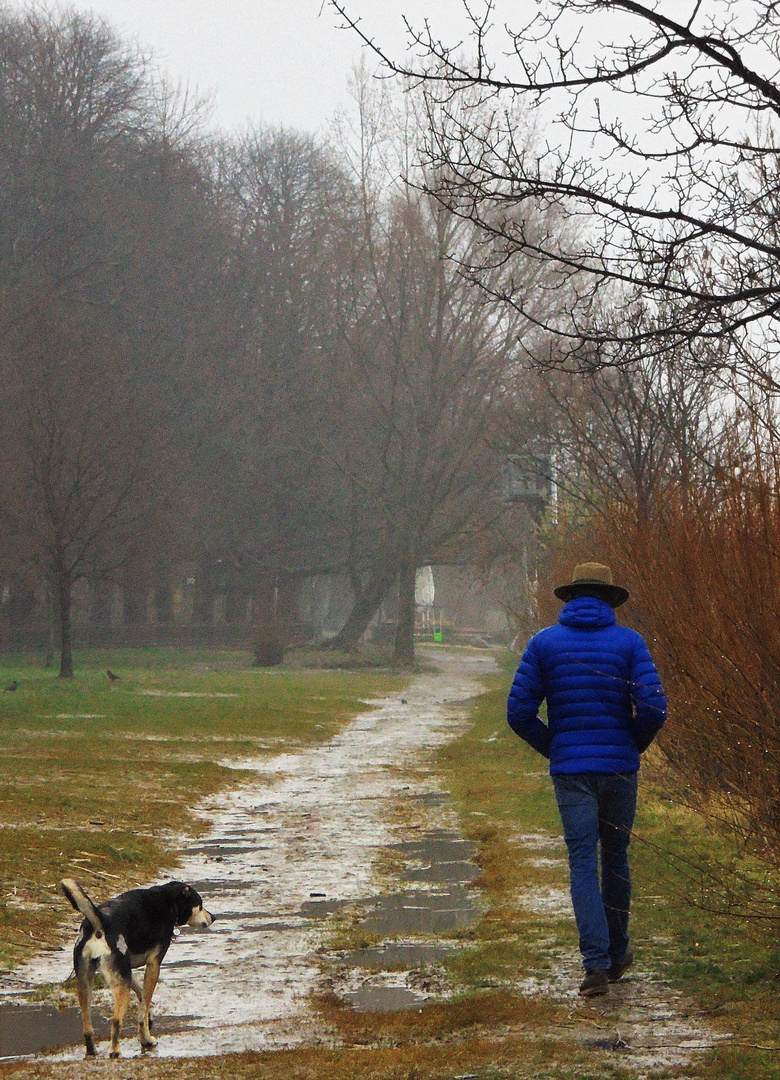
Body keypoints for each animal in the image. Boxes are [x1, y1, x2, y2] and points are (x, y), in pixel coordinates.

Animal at [61, 876, 212, 1054]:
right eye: (200, 904)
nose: (213, 917)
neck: (168, 901)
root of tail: (100, 922)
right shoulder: (153, 965)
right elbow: (143, 1007)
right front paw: (147, 1039)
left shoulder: (129, 973)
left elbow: (142, 997)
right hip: (122, 988)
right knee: (116, 1020)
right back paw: (115, 1051)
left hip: (86, 985)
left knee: (87, 1026)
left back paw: (92, 1052)